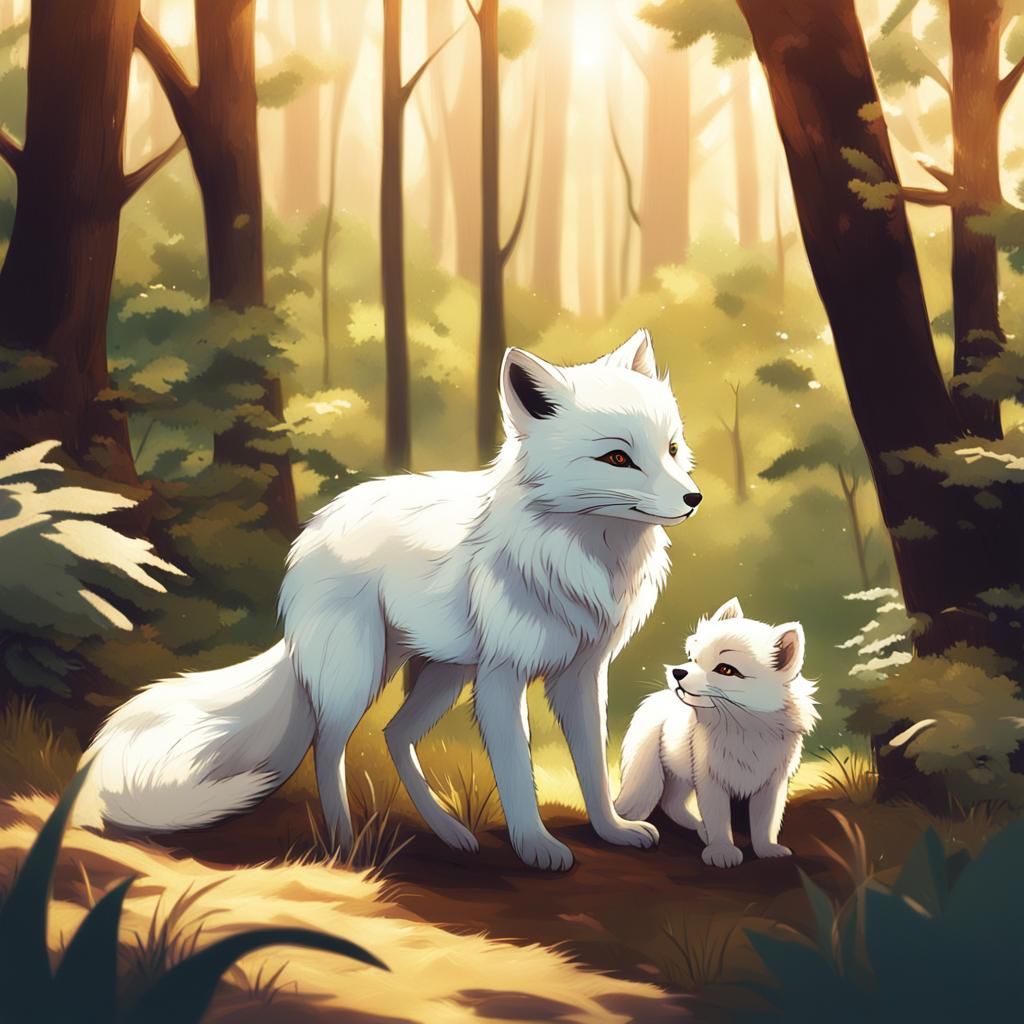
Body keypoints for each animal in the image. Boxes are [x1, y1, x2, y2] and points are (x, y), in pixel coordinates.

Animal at [75, 330, 703, 871]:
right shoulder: (502, 679)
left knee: (394, 736)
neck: (581, 558)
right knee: (328, 746)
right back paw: (347, 845)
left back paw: (450, 833)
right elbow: (516, 772)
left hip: (442, 674)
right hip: (361, 674)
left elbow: (593, 765)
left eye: (671, 449)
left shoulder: (580, 674)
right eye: (618, 459)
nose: (694, 499)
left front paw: (612, 831)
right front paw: (535, 847)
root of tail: (309, 537)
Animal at [614, 598, 818, 868]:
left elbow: (766, 821)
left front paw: (767, 850)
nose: (677, 672)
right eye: (692, 657)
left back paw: (699, 828)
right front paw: (722, 851)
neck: (743, 728)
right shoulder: (709, 778)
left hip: (679, 776)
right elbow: (718, 818)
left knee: (672, 804)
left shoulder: (771, 783)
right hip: (652, 775)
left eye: (726, 670)